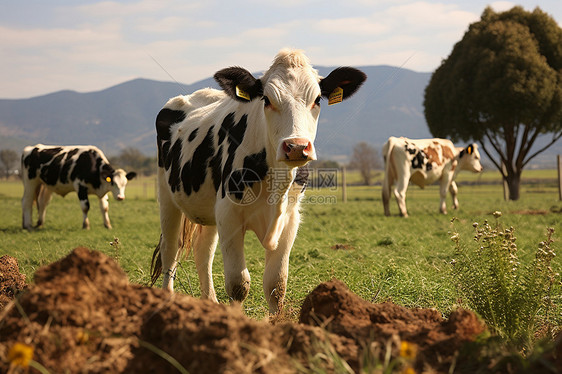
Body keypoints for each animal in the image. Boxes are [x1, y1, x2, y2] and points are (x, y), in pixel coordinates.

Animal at [151, 49, 366, 312]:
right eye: (266, 99)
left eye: (317, 100)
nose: (296, 146)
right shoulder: (229, 213)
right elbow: (238, 284)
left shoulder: (290, 218)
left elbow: (276, 284)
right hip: (166, 195)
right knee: (170, 251)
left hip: (209, 207)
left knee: (203, 252)